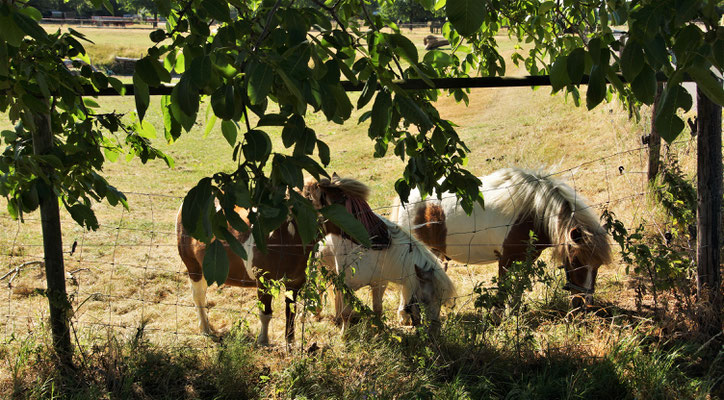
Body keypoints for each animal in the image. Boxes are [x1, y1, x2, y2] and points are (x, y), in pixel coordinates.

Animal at [177, 205, 312, 346]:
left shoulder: (295, 283)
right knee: (198, 296)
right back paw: (205, 330)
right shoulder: (264, 281)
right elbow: (265, 313)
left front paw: (290, 342)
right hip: (193, 266)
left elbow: (291, 313)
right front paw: (263, 341)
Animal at [302, 175, 456, 328]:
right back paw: (316, 313)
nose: (435, 329)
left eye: (440, 301)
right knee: (319, 288)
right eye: (424, 298)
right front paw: (344, 332)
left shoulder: (379, 284)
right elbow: (346, 313)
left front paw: (380, 329)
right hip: (319, 266)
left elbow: (377, 309)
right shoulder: (347, 287)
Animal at [390, 167, 612, 304]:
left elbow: (518, 291)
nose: (584, 304)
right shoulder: (505, 260)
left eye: (598, 266)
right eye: (575, 262)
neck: (533, 213)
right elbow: (503, 292)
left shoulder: (527, 260)